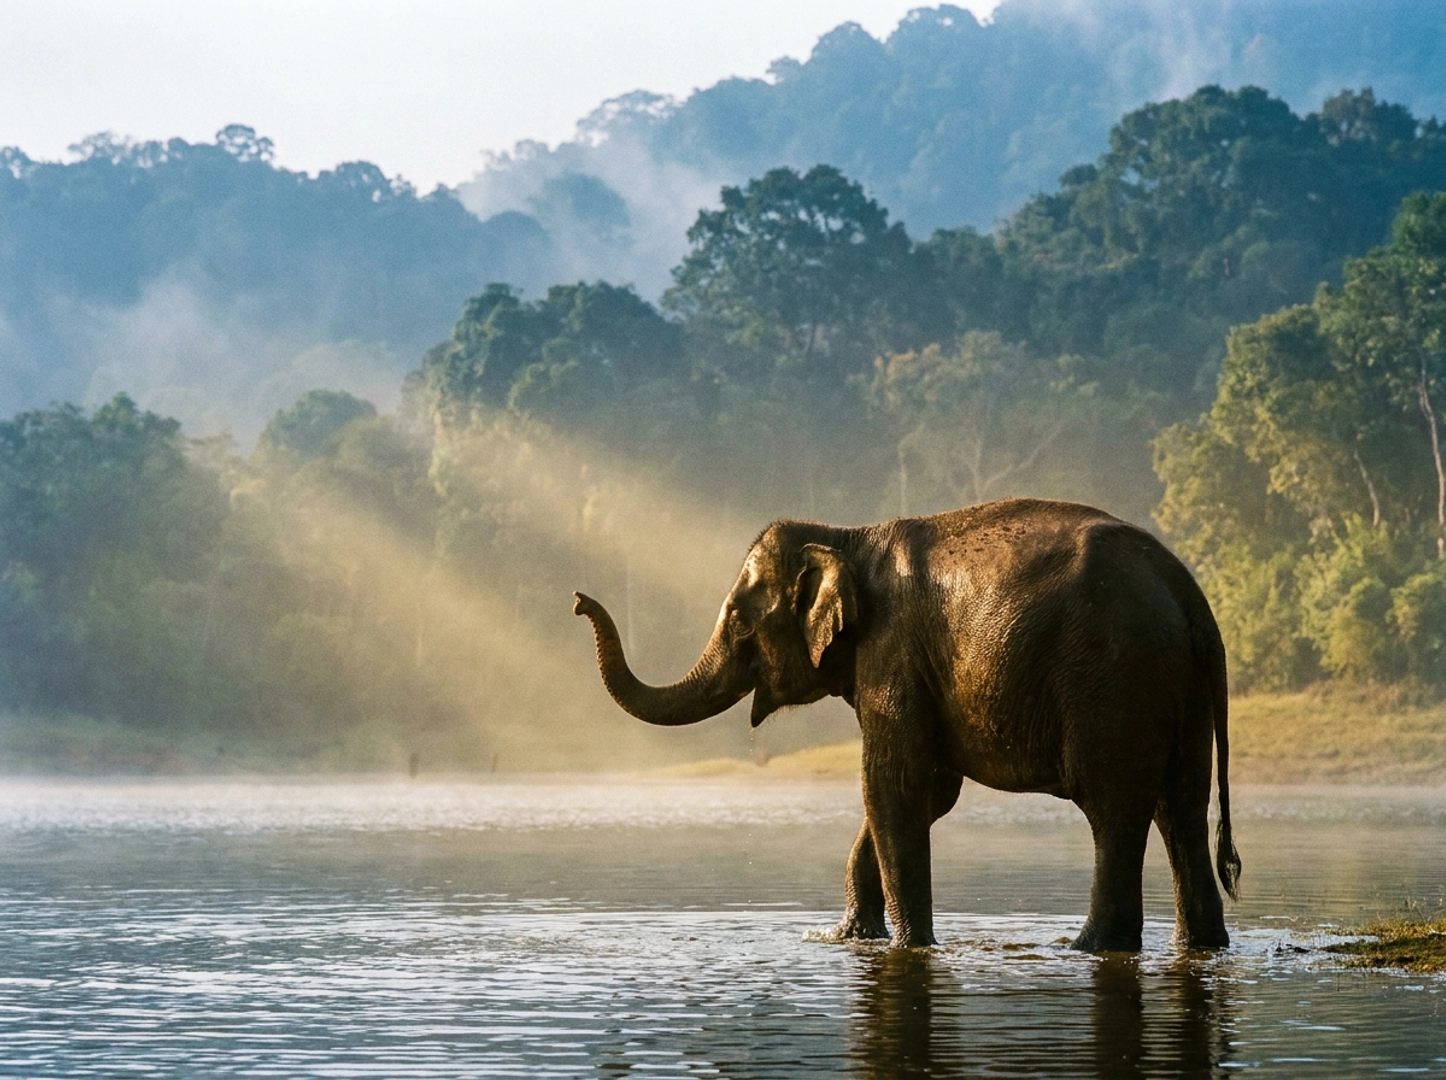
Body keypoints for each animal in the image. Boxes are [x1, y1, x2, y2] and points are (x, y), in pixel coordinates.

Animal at [573, 498, 1240, 951]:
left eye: (739, 620)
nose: (580, 601)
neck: (845, 536)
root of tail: (1190, 596)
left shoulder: (891, 652)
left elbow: (892, 786)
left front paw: (908, 945)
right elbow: (930, 793)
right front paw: (849, 937)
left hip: (1114, 683)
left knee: (1115, 811)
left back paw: (1087, 947)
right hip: (1178, 692)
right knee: (1180, 810)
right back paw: (1200, 944)